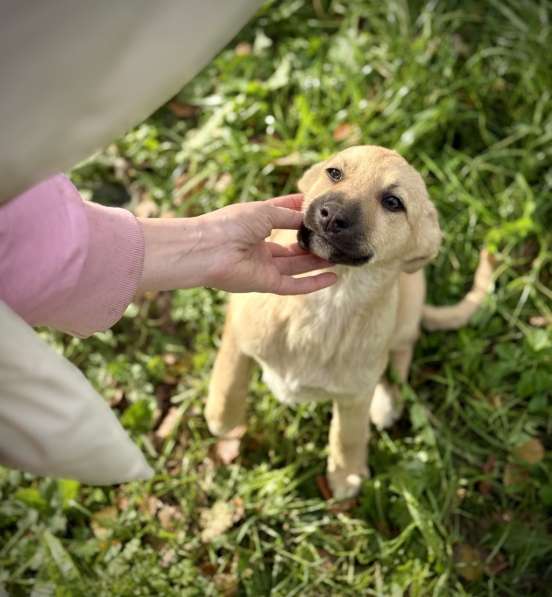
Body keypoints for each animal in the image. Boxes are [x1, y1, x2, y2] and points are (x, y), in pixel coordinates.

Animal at [204, 144, 492, 498]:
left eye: (393, 202)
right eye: (335, 173)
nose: (330, 215)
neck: (330, 299)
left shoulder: (355, 395)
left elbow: (348, 435)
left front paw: (346, 475)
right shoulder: (238, 327)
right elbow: (228, 379)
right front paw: (222, 419)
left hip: (409, 303)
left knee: (403, 349)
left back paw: (386, 401)